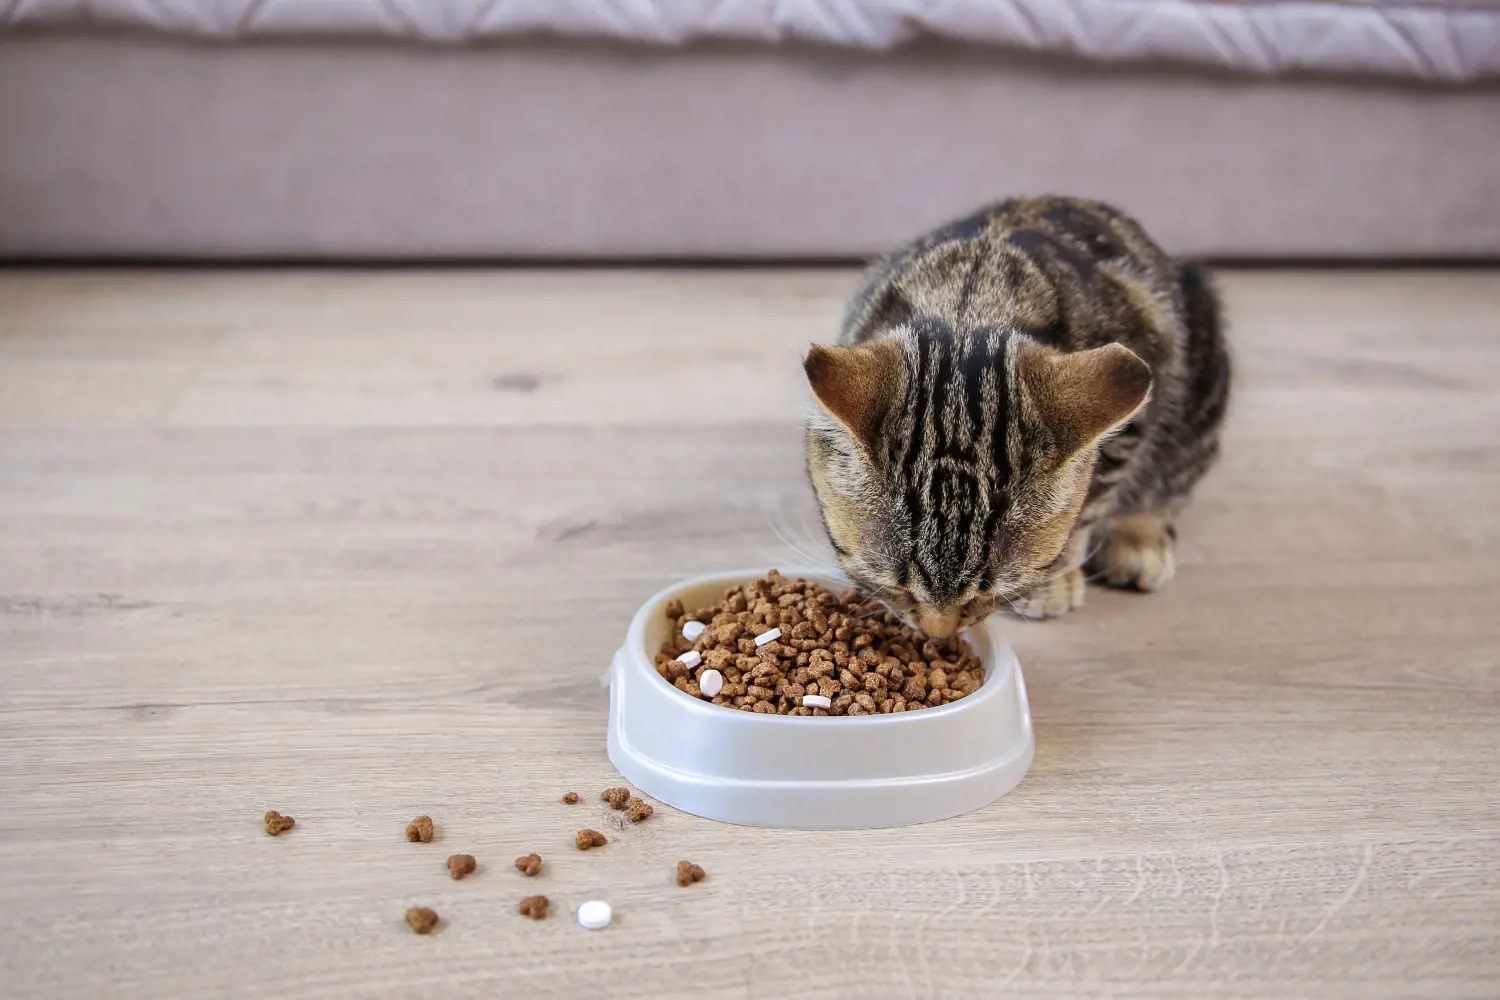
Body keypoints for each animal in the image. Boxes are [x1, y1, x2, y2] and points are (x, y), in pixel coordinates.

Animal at [810, 194, 1230, 632]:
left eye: (985, 591)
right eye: (898, 586)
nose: (939, 634)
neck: (973, 301)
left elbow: (1088, 500)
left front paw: (1052, 579)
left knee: (1173, 478)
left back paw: (1139, 538)